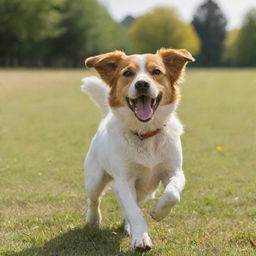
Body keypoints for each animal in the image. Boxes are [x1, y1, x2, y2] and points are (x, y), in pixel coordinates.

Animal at [81, 48, 194, 250]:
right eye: (127, 73)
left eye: (156, 71)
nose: (142, 84)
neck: (145, 134)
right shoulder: (123, 181)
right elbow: (134, 211)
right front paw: (141, 238)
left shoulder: (174, 171)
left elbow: (172, 194)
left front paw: (158, 212)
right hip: (95, 179)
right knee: (95, 199)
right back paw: (94, 220)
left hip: (147, 191)